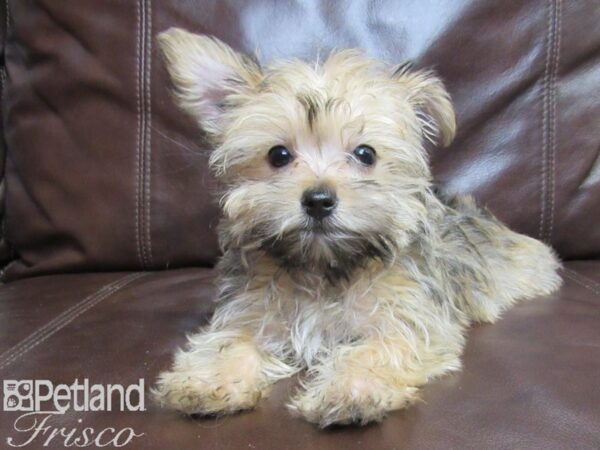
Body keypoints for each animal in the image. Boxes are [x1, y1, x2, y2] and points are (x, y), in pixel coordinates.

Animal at [151, 28, 564, 426]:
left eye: (366, 154)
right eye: (278, 155)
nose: (318, 200)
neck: (323, 268)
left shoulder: (408, 319)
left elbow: (376, 350)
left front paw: (350, 392)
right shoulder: (250, 311)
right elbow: (230, 342)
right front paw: (209, 381)